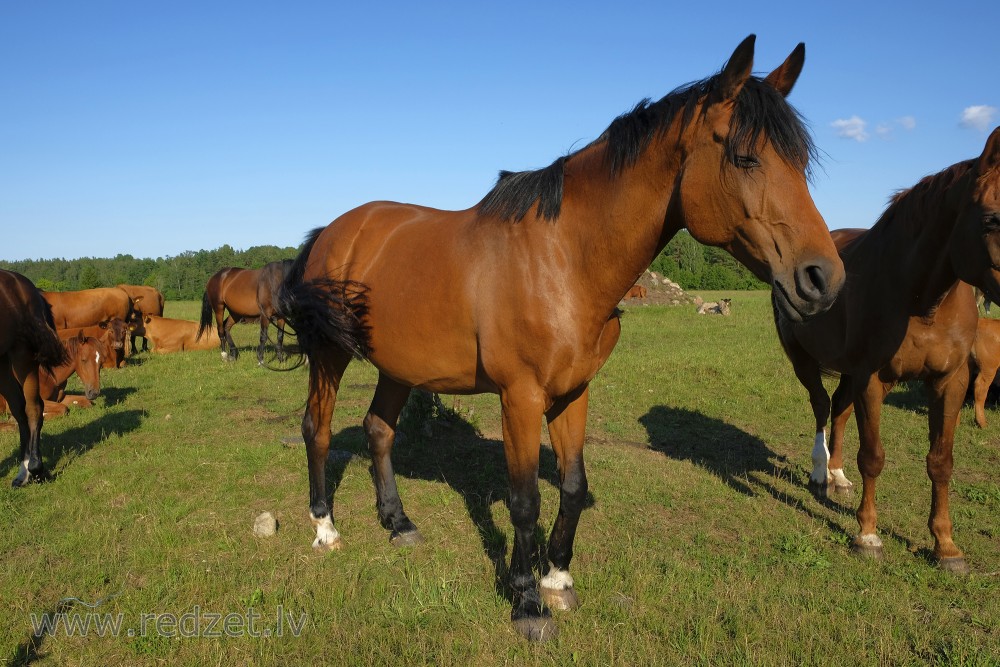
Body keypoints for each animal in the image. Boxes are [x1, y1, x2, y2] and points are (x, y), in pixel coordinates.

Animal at [278, 36, 848, 640]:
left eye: (801, 163)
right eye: (745, 158)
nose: (823, 279)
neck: (563, 260)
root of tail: (332, 232)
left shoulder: (573, 393)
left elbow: (572, 486)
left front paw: (558, 578)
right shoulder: (521, 398)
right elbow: (525, 499)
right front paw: (527, 602)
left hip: (398, 364)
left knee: (379, 430)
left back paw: (399, 522)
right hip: (330, 356)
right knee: (317, 430)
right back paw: (324, 527)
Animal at [772, 128, 1000, 576]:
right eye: (989, 219)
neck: (922, 298)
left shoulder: (950, 381)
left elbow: (941, 461)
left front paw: (946, 546)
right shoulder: (872, 378)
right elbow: (873, 457)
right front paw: (867, 535)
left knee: (839, 409)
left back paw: (838, 476)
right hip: (804, 361)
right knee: (821, 406)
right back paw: (820, 471)